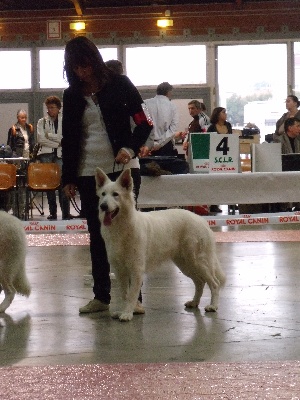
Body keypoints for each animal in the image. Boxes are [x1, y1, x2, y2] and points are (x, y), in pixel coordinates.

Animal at [95, 168, 225, 322]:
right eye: (103, 194)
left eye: (116, 194)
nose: (103, 206)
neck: (122, 227)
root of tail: (201, 220)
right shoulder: (119, 270)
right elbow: (124, 294)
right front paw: (122, 311)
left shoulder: (136, 270)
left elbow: (131, 295)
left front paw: (127, 314)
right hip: (186, 264)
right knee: (199, 282)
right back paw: (194, 302)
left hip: (198, 262)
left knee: (214, 283)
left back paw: (213, 306)